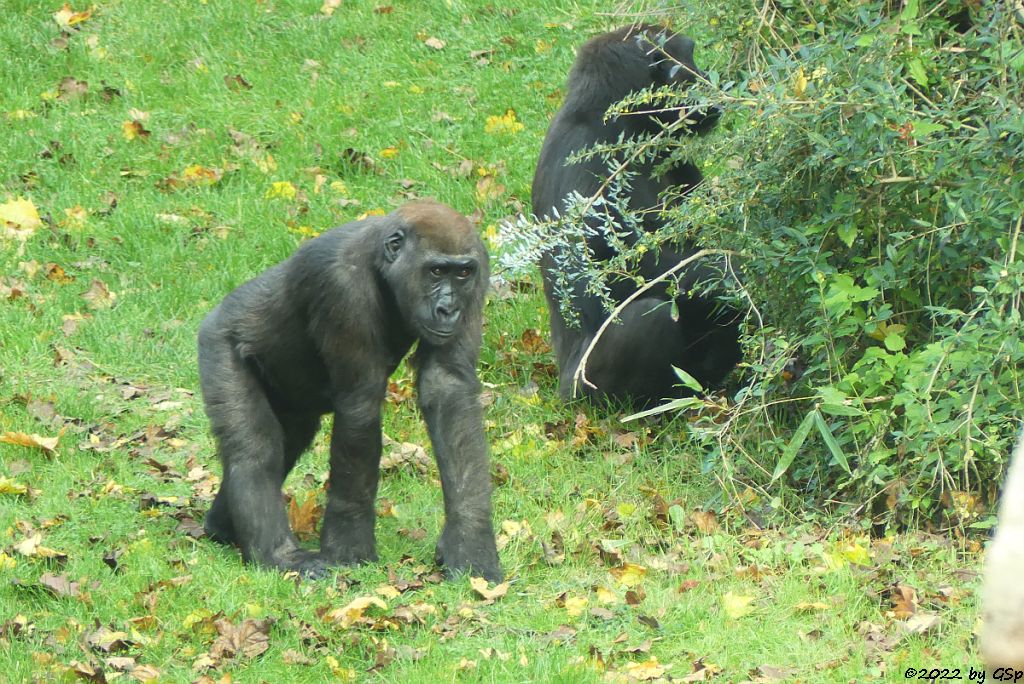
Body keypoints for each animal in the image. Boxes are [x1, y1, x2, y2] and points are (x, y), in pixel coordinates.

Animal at [195, 200, 499, 581]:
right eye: (436, 271)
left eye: (462, 274)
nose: (449, 309)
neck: (382, 264)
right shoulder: (340, 283)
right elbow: (360, 408)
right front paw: (349, 545)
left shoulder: (480, 267)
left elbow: (448, 388)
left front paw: (469, 540)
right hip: (217, 340)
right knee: (256, 450)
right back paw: (277, 555)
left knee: (289, 439)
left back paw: (222, 526)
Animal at [532, 24, 741, 409]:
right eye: (687, 62)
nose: (707, 81)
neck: (617, 121)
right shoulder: (584, 162)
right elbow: (609, 277)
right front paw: (732, 271)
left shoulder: (670, 149)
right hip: (582, 393)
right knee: (649, 322)